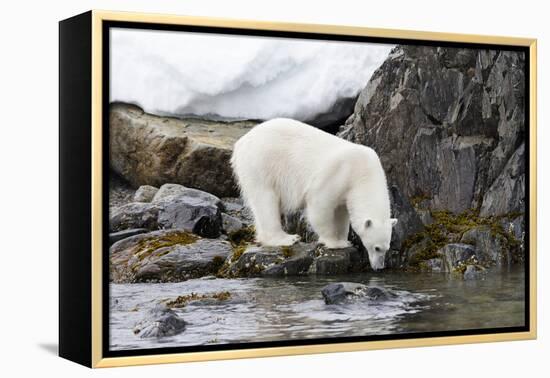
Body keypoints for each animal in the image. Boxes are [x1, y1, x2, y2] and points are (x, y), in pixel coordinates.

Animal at [232, 118, 396, 268]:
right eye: (377, 248)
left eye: (387, 248)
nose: (379, 267)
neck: (364, 173)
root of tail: (241, 143)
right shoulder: (337, 175)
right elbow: (320, 207)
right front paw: (334, 242)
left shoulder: (347, 191)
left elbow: (341, 212)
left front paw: (343, 240)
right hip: (262, 164)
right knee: (266, 200)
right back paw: (287, 238)